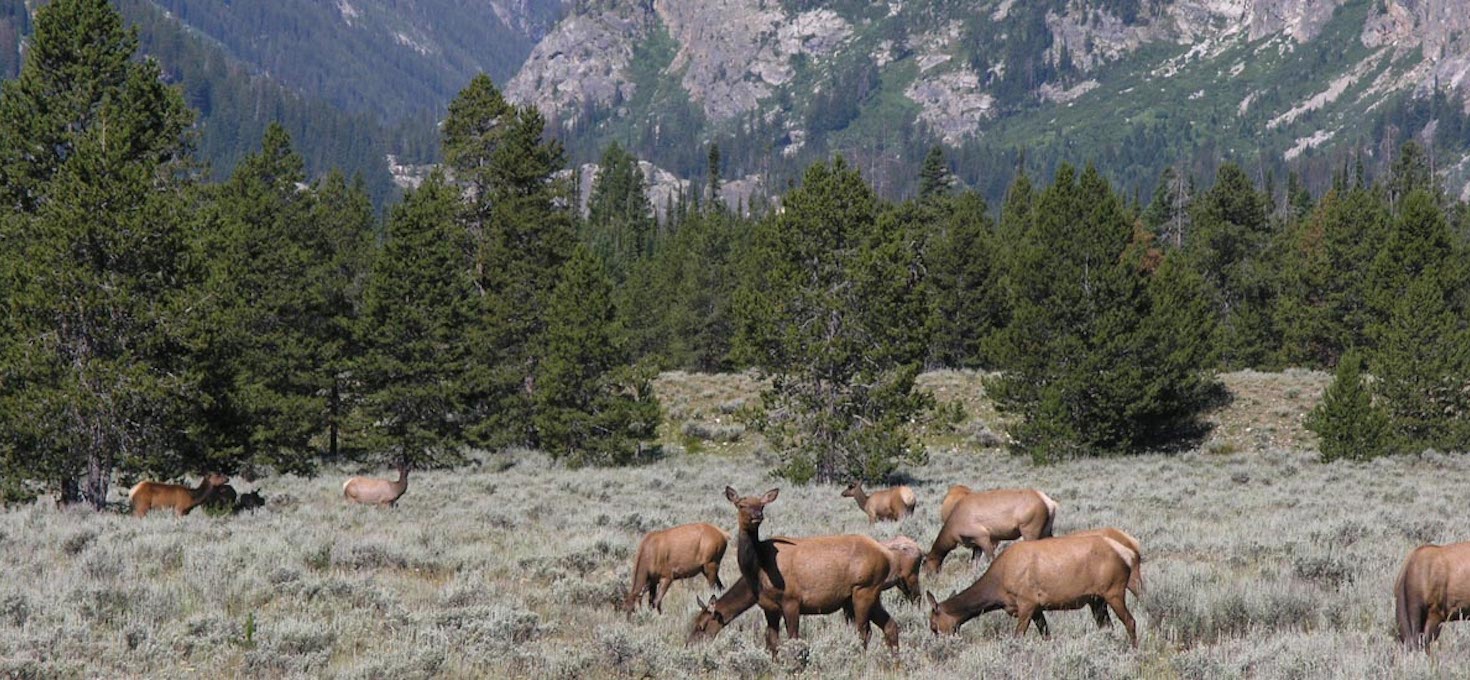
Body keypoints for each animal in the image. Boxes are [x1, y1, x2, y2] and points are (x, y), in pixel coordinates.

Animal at [720, 487, 893, 657]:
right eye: (741, 505)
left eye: (762, 505)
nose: (757, 516)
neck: (759, 569)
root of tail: (886, 555)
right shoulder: (769, 607)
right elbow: (773, 643)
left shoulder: (791, 600)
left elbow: (793, 640)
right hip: (864, 594)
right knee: (889, 625)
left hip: (864, 589)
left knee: (864, 632)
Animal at [917, 487, 1058, 572]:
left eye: (924, 566)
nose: (928, 580)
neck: (953, 530)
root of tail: (1050, 503)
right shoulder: (975, 543)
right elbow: (974, 562)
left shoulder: (983, 536)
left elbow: (990, 558)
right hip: (1046, 529)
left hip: (1029, 529)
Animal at [923, 531, 1140, 649]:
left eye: (933, 626)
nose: (937, 645)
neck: (997, 588)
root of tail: (1127, 553)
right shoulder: (1037, 608)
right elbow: (1046, 635)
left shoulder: (1026, 603)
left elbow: (1018, 636)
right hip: (1096, 599)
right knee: (1107, 627)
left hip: (1114, 591)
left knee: (1130, 621)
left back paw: (1133, 650)